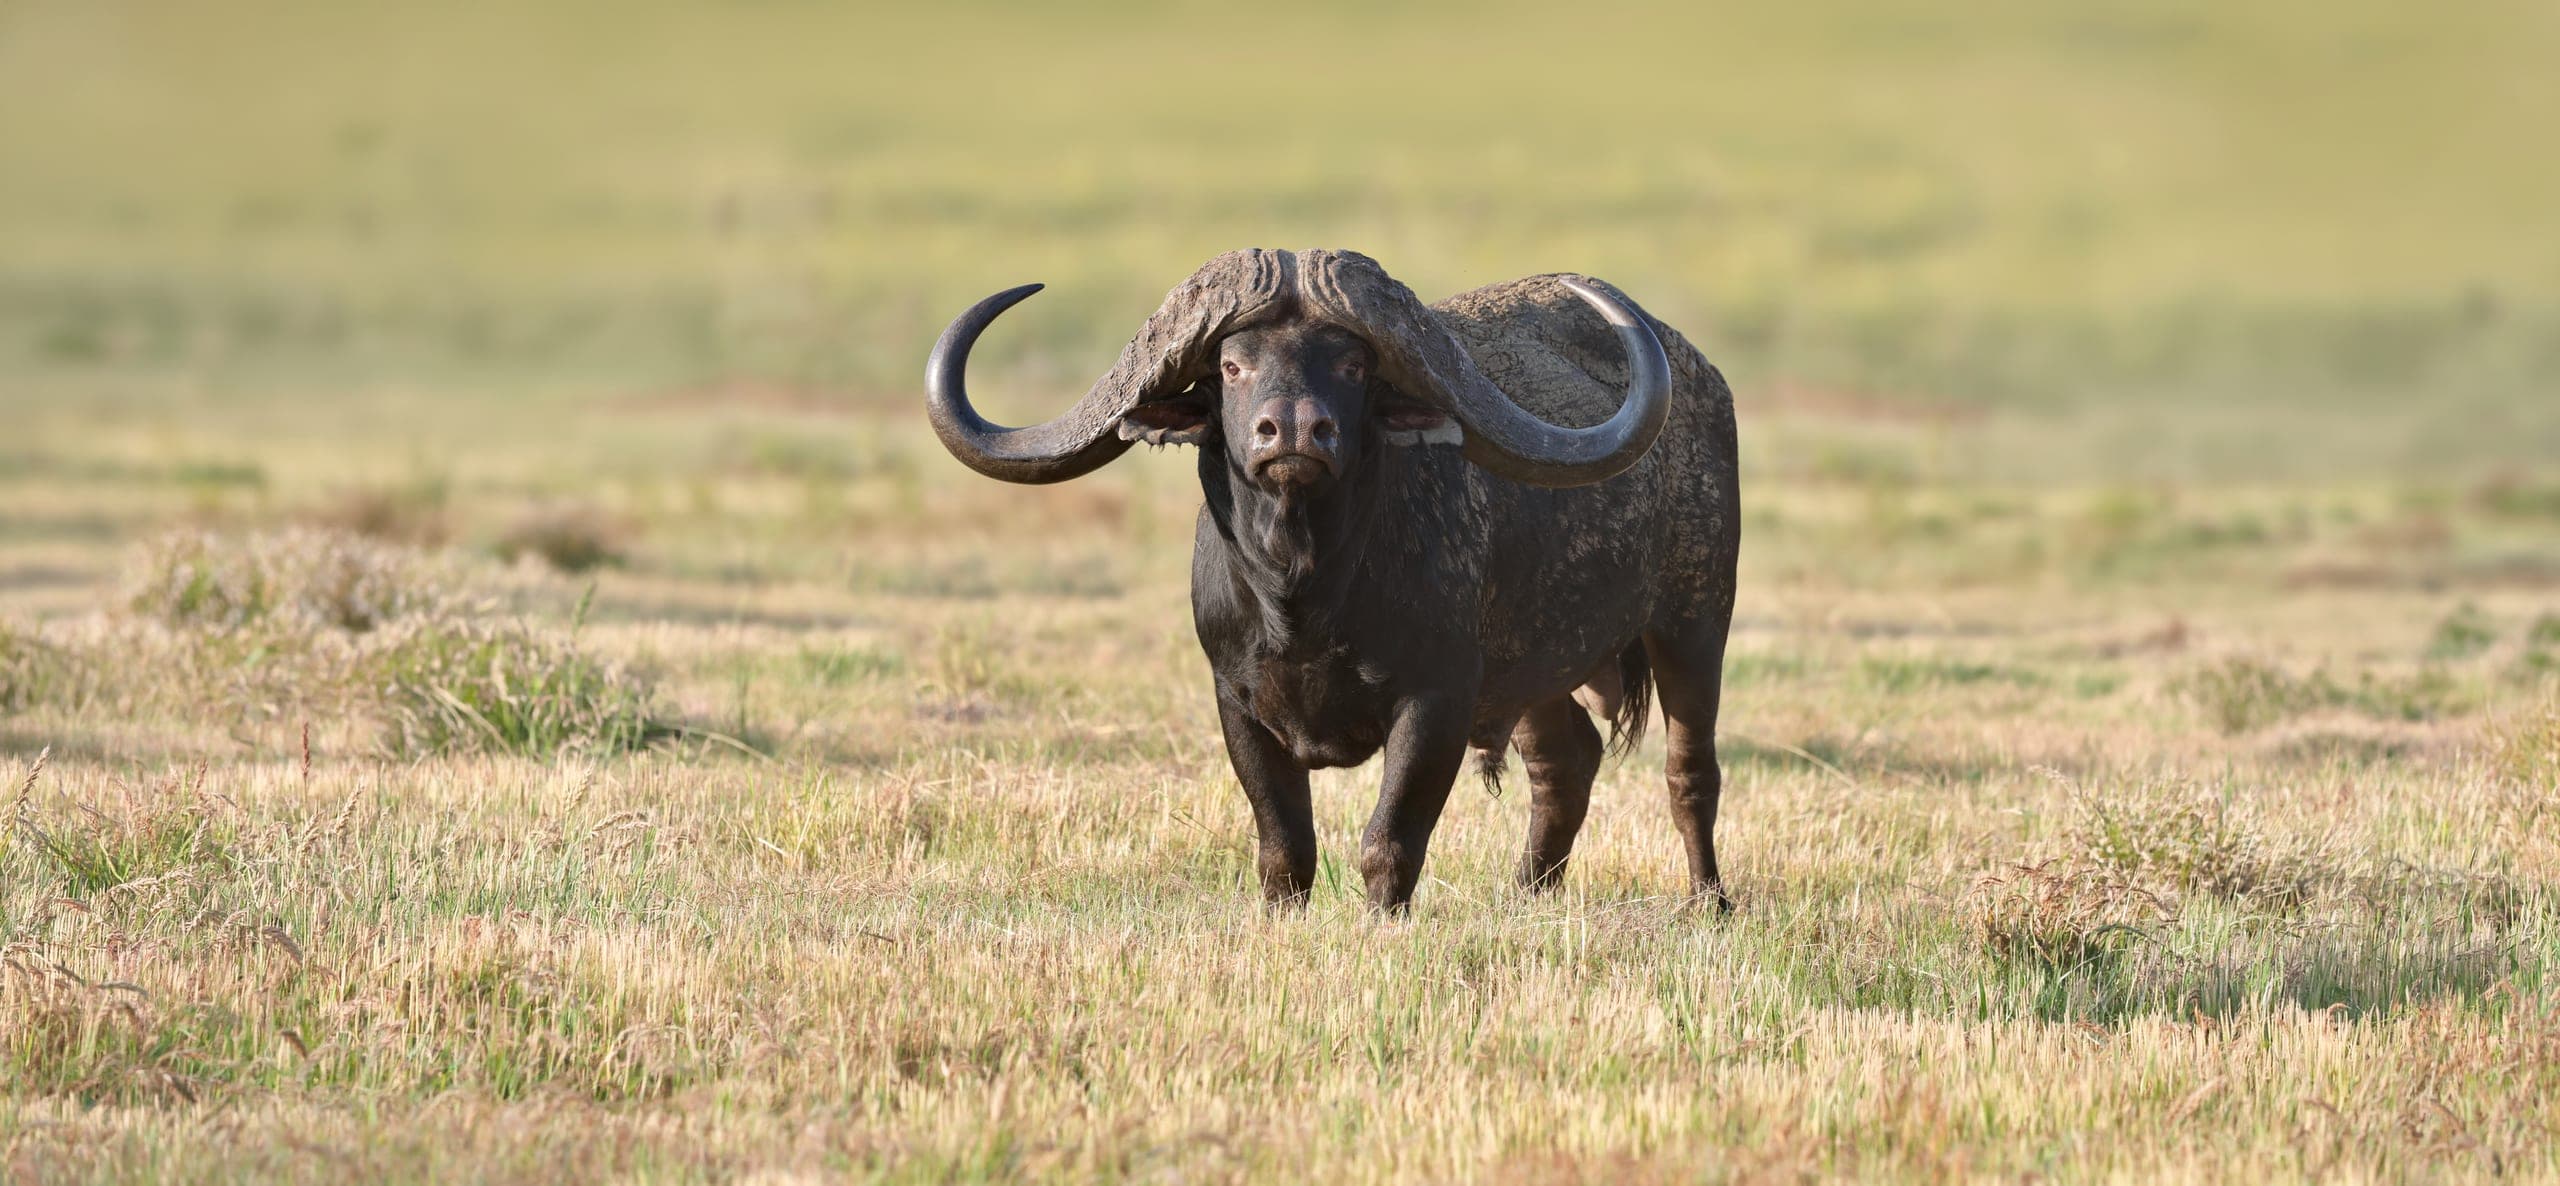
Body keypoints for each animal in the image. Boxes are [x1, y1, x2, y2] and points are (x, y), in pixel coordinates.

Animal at [926, 249, 1738, 913]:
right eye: (1232, 366)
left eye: (1352, 366)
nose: (1293, 430)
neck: (1305, 598)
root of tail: (1703, 379)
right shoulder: (1237, 702)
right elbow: (1284, 849)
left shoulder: (1437, 700)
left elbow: (1390, 842)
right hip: (1536, 668)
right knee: (1565, 760)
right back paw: (1528, 895)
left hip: (1695, 622)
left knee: (1689, 770)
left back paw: (1708, 902)